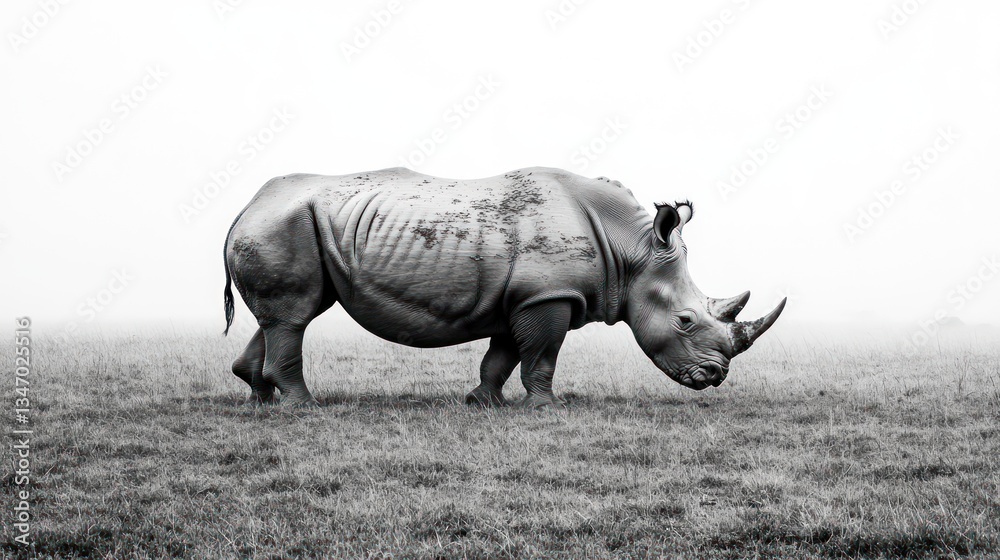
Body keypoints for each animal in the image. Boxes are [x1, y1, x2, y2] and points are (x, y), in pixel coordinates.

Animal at [222, 167, 785, 407]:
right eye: (685, 321)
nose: (714, 378)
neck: (632, 248)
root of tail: (244, 206)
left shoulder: (525, 296)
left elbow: (504, 353)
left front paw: (482, 402)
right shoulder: (549, 295)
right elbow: (541, 353)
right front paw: (547, 407)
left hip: (293, 224)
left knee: (286, 315)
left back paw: (261, 399)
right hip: (283, 224)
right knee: (293, 316)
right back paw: (302, 406)